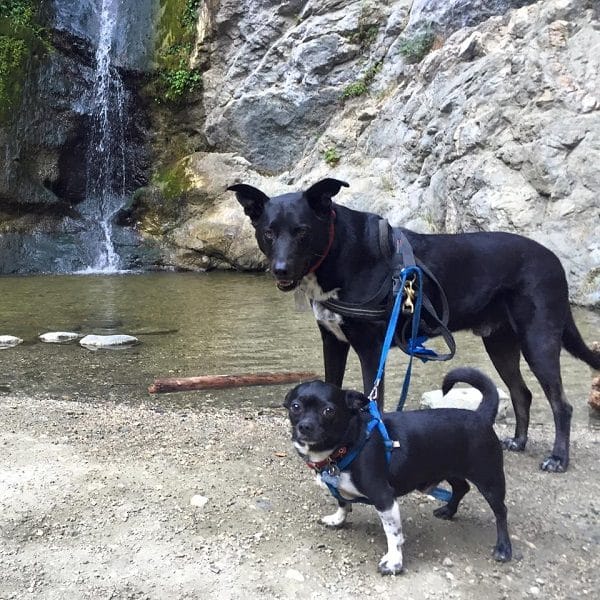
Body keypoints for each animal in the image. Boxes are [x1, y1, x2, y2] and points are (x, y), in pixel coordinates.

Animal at [230, 178, 600, 474]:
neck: (341, 252)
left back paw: (558, 458)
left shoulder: (371, 349)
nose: (280, 269)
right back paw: (519, 442)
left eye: (302, 232)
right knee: (522, 393)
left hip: (539, 339)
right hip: (500, 343)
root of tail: (554, 260)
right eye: (268, 232)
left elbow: (374, 403)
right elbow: (329, 387)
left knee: (561, 404)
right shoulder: (332, 341)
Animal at [284, 368, 510, 576]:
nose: (305, 426)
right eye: (295, 407)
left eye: (328, 411)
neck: (346, 445)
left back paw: (503, 548)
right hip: (450, 470)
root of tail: (480, 415)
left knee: (501, 512)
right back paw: (448, 510)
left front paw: (393, 562)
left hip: (489, 480)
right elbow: (342, 501)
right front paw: (338, 519)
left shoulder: (384, 498)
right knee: (462, 487)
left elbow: (393, 533)